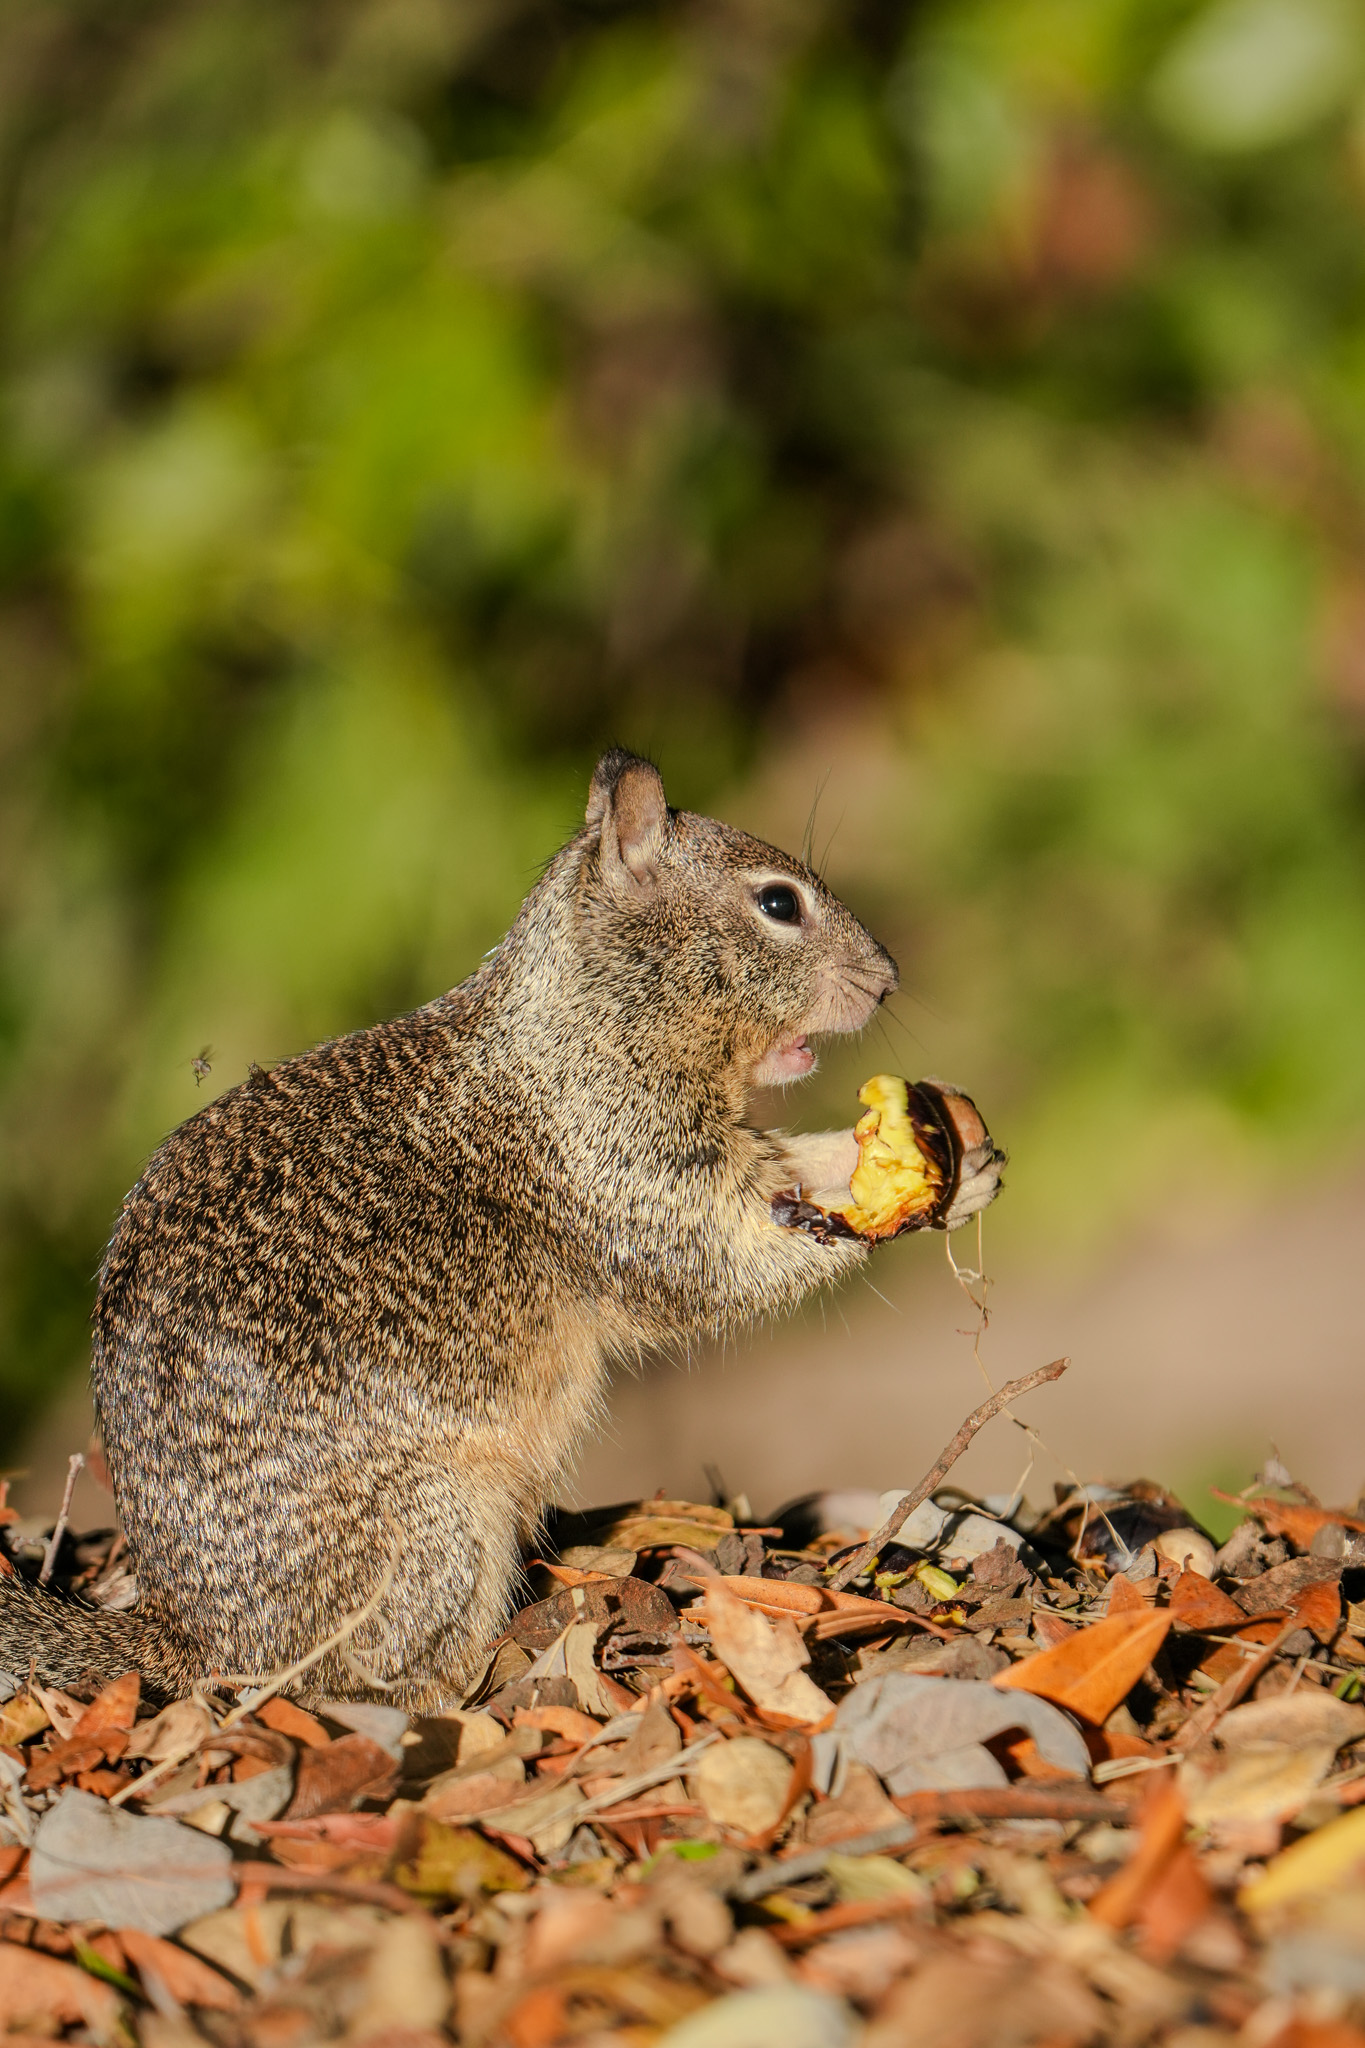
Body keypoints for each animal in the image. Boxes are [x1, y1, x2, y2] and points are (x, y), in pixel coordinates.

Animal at [0, 752, 1002, 1707]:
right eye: (778, 903)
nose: (888, 981)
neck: (578, 1031)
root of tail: (186, 1638)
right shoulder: (625, 1172)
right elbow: (707, 1264)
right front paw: (879, 1215)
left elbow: (796, 1162)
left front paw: (959, 1165)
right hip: (434, 1534)